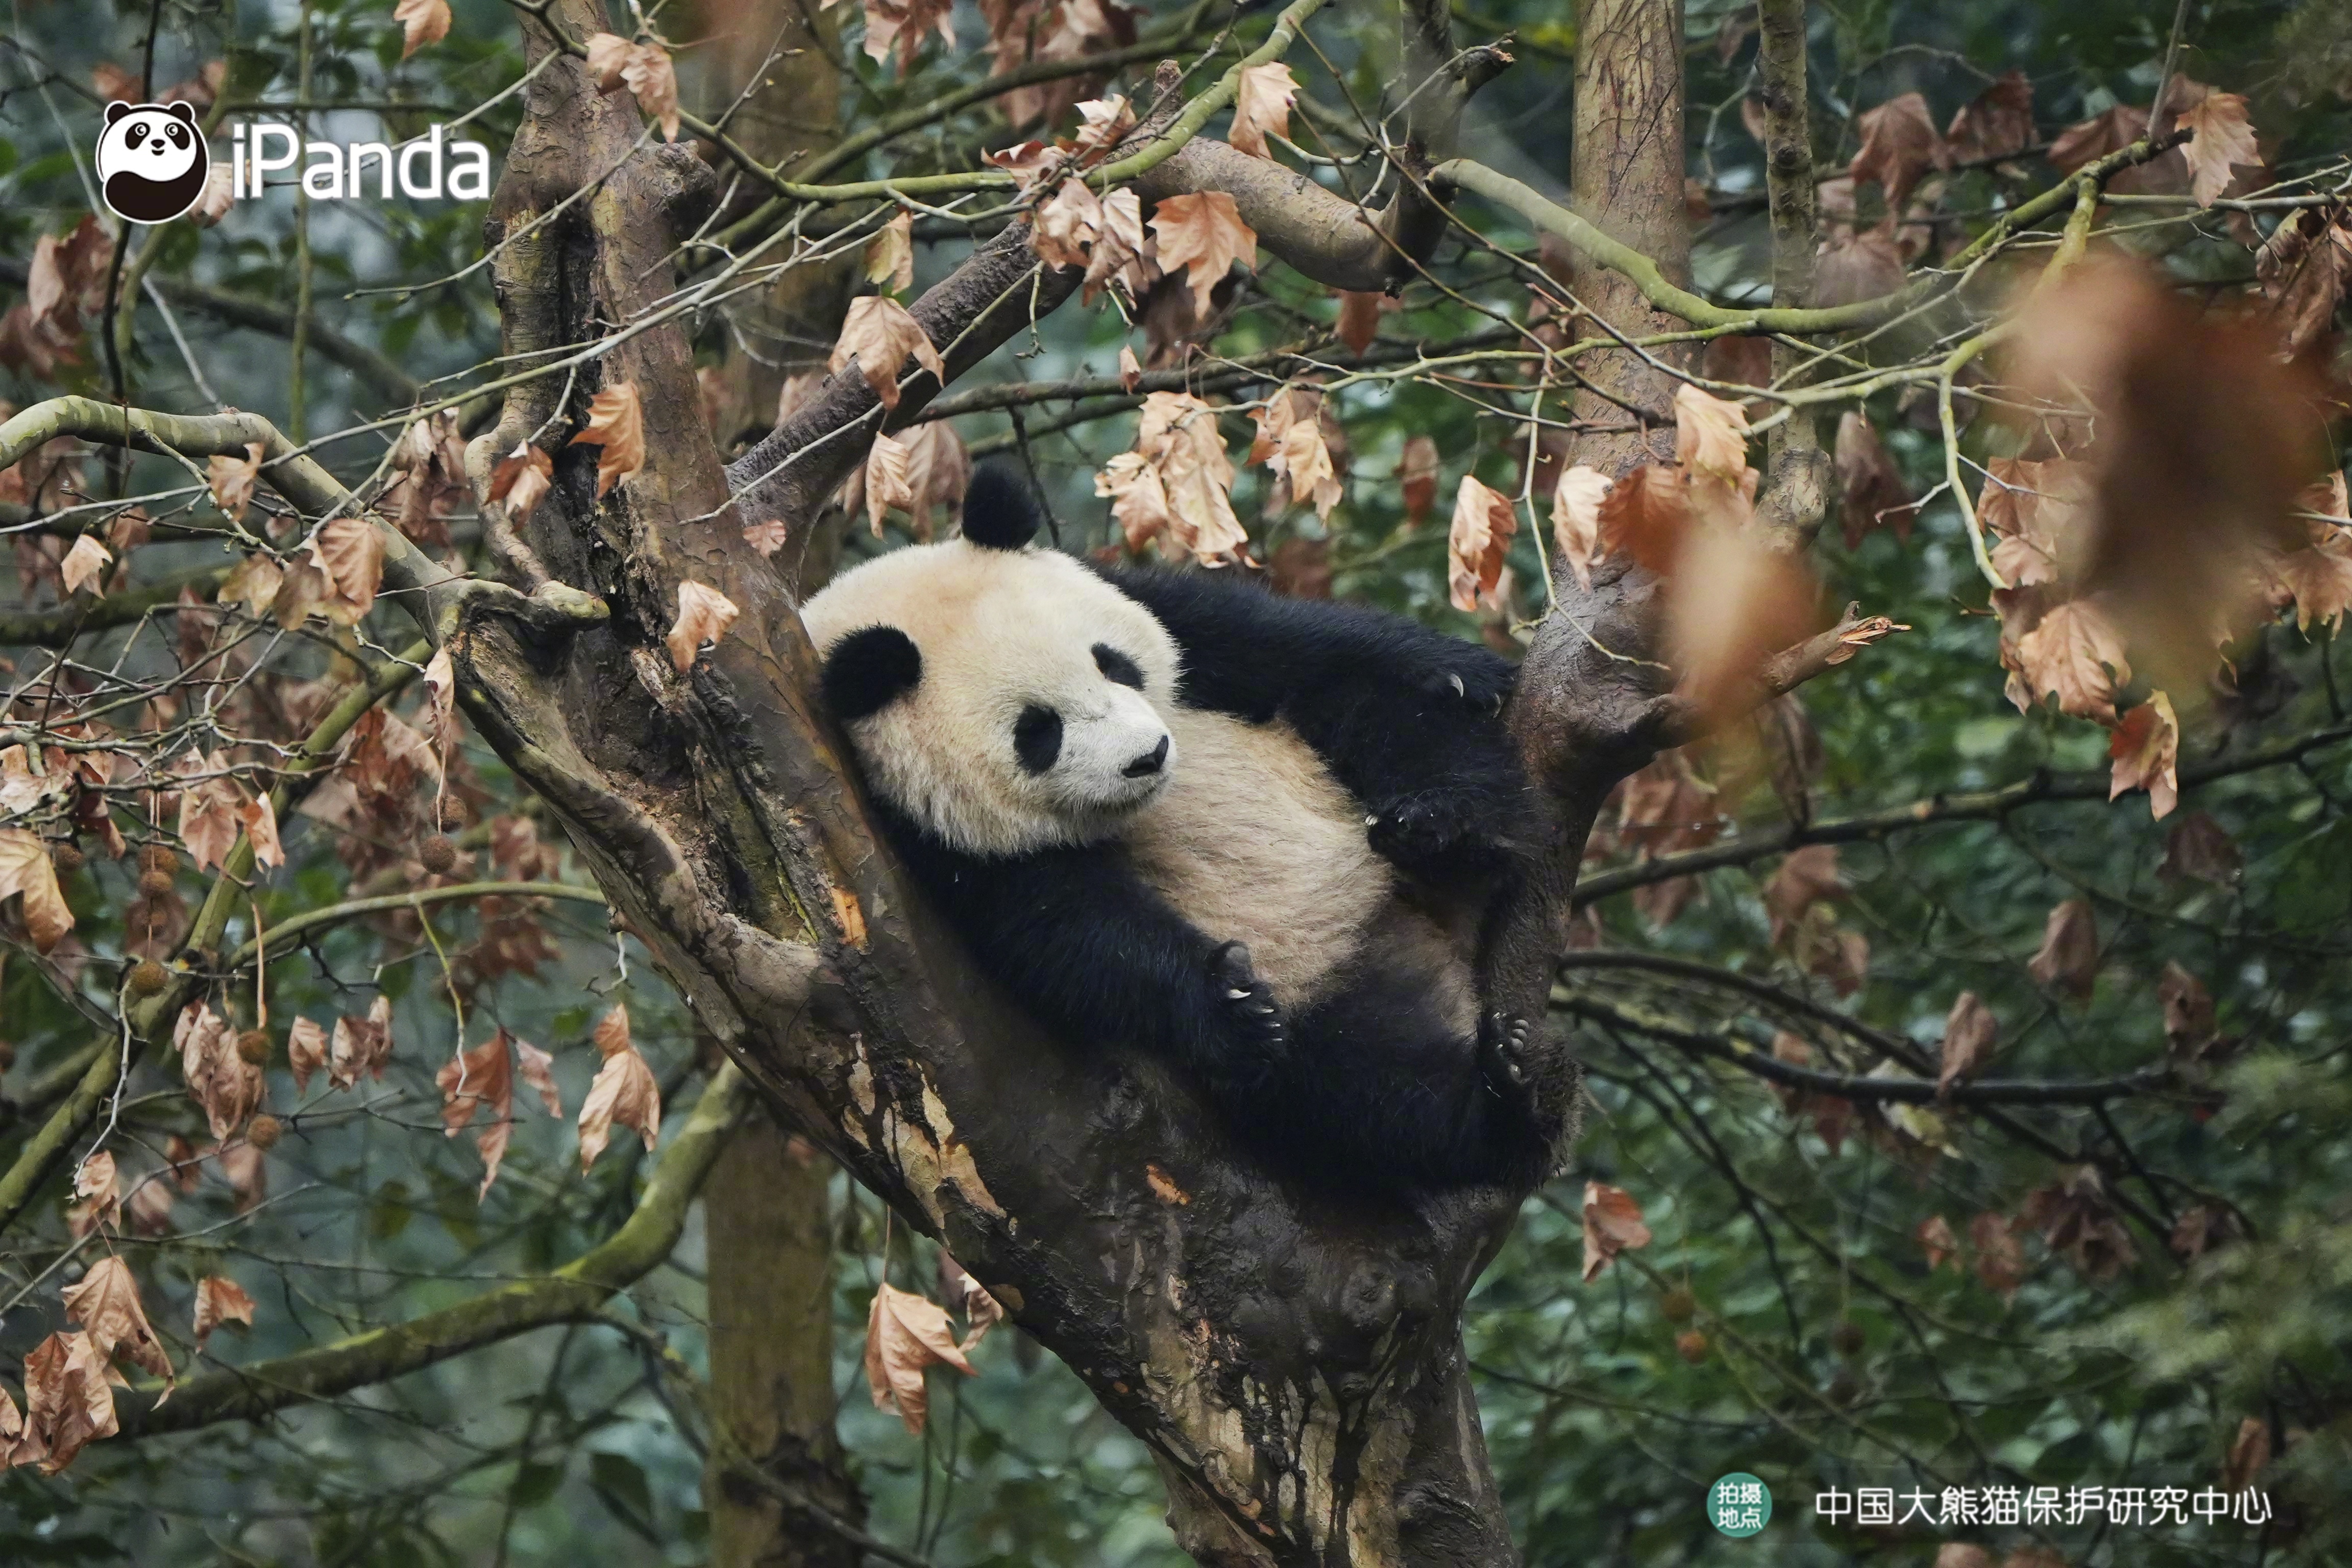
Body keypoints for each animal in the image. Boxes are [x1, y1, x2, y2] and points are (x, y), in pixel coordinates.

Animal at [799, 465, 1552, 1189]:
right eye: (1037, 731)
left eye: (1112, 663)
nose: (1150, 755)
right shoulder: (924, 838)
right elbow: (1070, 928)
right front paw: (1229, 1003)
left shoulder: (1163, 609)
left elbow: (1291, 642)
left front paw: (1469, 672)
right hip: (1317, 1018)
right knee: (1358, 1090)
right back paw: (1502, 1106)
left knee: (1381, 717)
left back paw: (1450, 833)